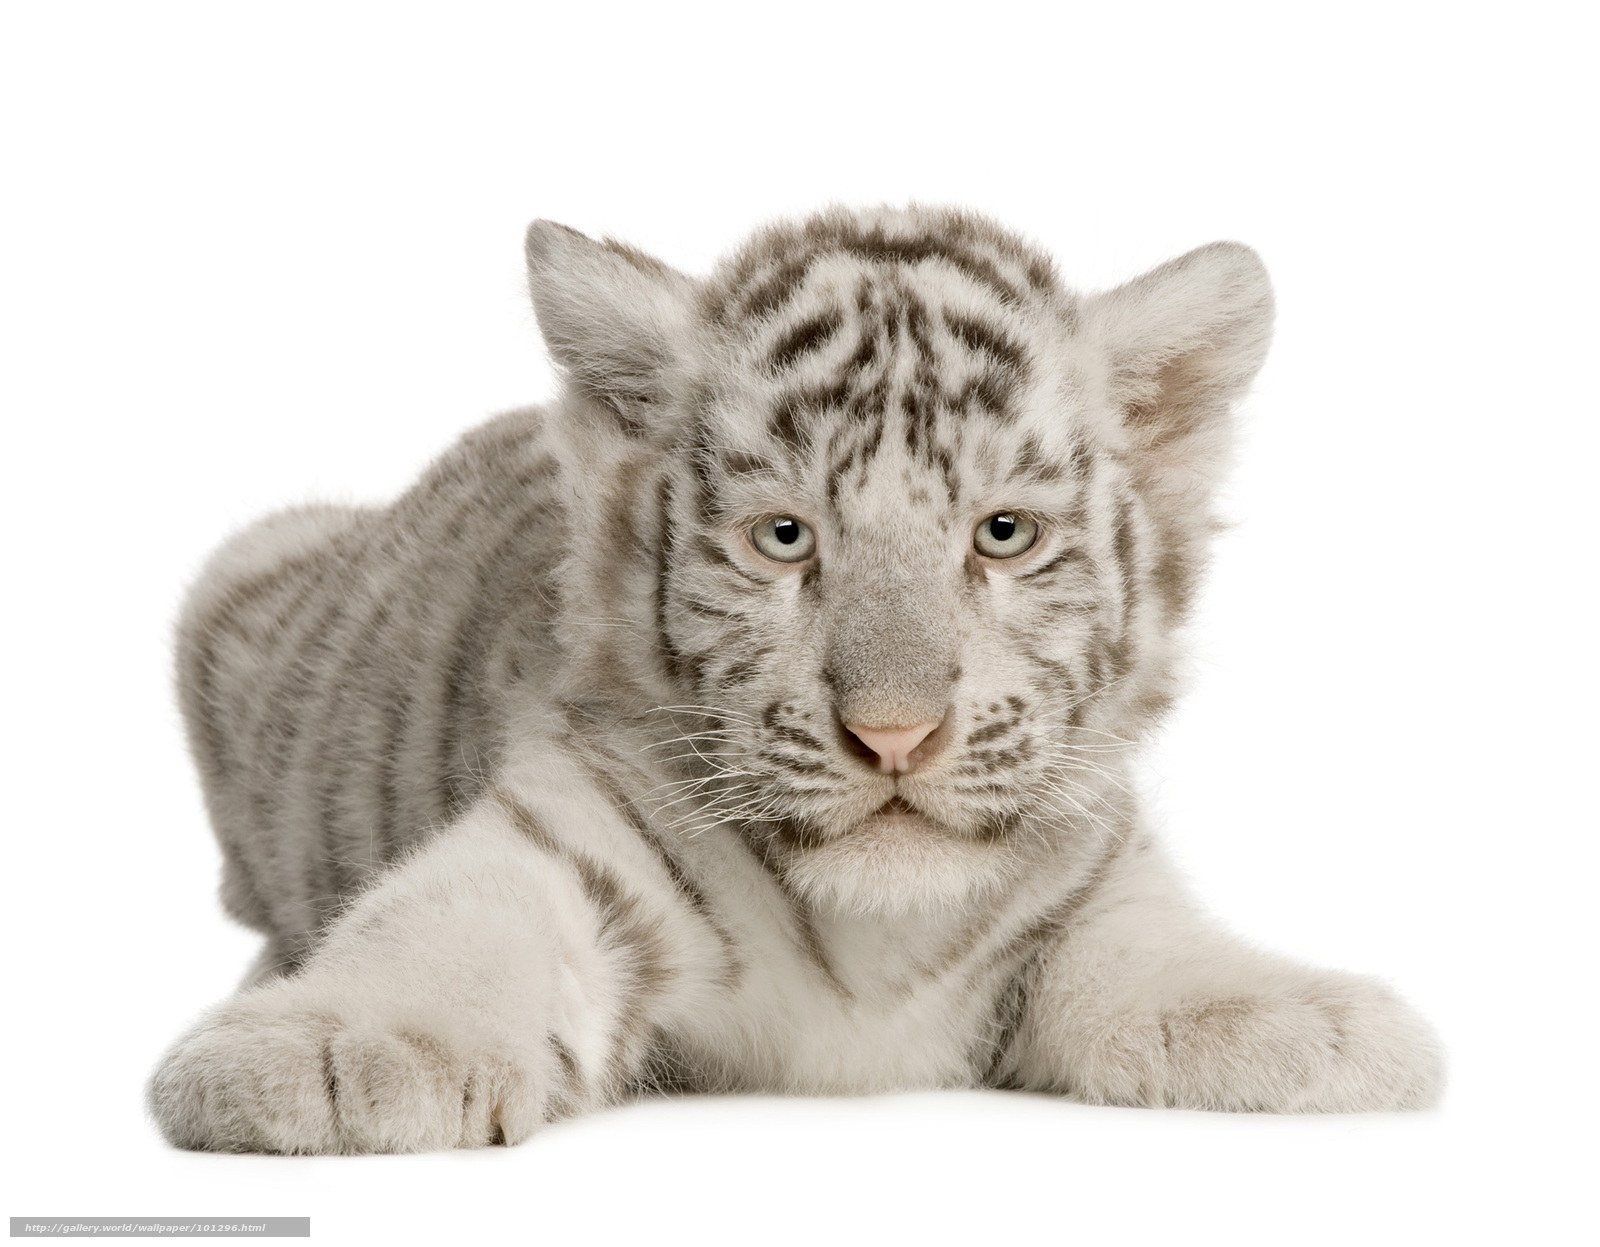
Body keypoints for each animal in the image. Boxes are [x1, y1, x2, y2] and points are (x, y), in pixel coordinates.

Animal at [148, 204, 1444, 1153]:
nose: (894, 735)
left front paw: (1320, 1026)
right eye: (783, 537)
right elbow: (456, 918)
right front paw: (327, 1049)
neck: (874, 936)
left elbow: (1153, 946)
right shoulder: (571, 820)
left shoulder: (1089, 868)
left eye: (1003, 534)